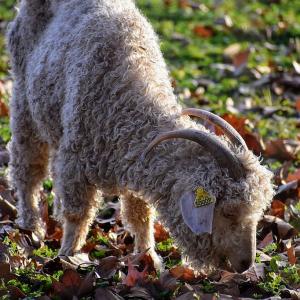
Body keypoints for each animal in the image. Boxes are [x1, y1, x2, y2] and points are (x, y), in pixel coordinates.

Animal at [6, 0, 274, 272]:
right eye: (229, 212)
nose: (245, 263)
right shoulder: (75, 161)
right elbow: (77, 214)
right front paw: (67, 255)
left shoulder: (133, 158)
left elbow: (140, 215)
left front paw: (149, 257)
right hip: (23, 99)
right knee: (27, 168)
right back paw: (31, 225)